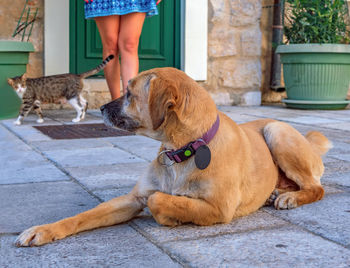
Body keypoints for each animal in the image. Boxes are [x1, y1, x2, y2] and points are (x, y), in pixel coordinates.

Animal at [14, 67, 330, 247]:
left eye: (129, 94)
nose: (100, 107)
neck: (182, 150)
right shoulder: (133, 199)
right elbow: (84, 216)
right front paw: (44, 230)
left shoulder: (219, 208)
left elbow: (161, 199)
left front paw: (172, 217)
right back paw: (276, 192)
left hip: (277, 131)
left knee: (316, 187)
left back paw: (290, 197)